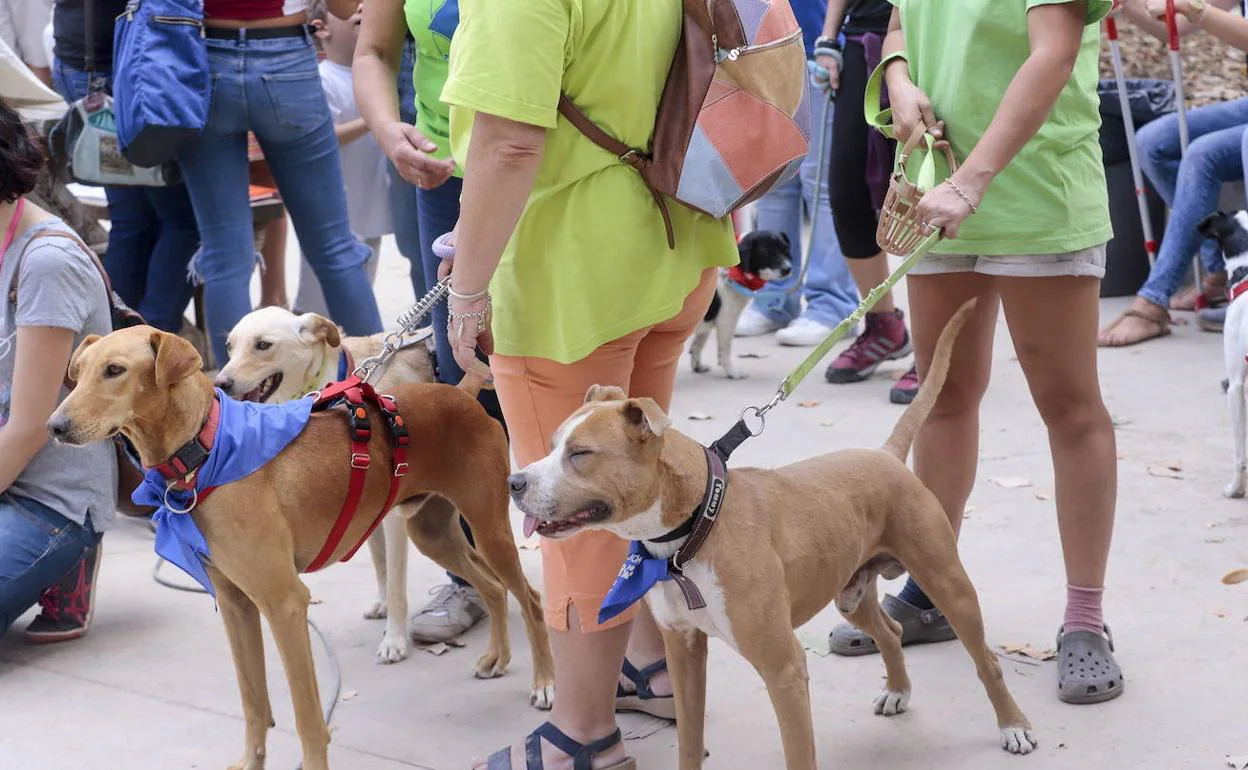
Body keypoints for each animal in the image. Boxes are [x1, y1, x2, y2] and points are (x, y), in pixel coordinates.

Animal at [218, 305, 439, 658]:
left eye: (263, 345)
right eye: (229, 346)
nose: (220, 383)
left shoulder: (392, 515)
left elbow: (396, 583)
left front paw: (394, 640)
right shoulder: (367, 507)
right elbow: (381, 564)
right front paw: (381, 605)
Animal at [506, 300, 1033, 768]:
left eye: (580, 454)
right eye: (552, 445)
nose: (514, 482)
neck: (693, 534)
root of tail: (885, 454)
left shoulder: (783, 668)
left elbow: (799, 753)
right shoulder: (684, 652)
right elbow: (689, 740)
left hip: (948, 583)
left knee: (985, 658)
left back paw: (1014, 726)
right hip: (851, 592)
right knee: (891, 630)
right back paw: (897, 691)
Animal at [688, 230, 793, 381]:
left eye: (786, 249)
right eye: (767, 253)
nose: (788, 269)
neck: (734, 273)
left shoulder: (706, 323)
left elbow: (698, 345)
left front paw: (697, 366)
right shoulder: (726, 322)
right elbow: (725, 351)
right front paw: (733, 372)